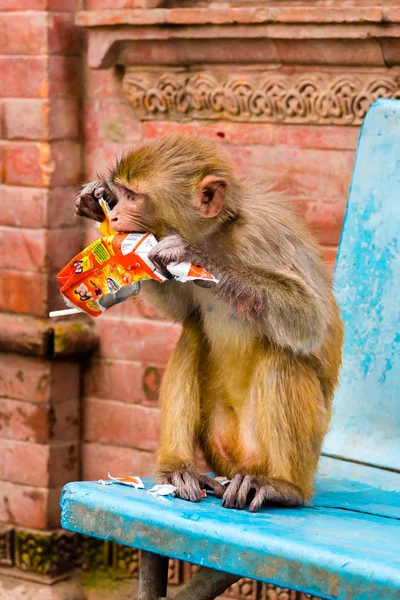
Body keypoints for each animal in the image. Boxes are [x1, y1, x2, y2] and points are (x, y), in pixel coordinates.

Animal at [76, 136, 344, 510]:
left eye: (134, 197)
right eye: (122, 194)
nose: (113, 215)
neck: (215, 233)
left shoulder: (262, 236)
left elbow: (310, 320)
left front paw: (196, 258)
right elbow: (181, 308)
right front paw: (96, 199)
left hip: (288, 452)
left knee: (284, 355)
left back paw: (283, 486)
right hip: (219, 442)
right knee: (192, 333)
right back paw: (178, 469)